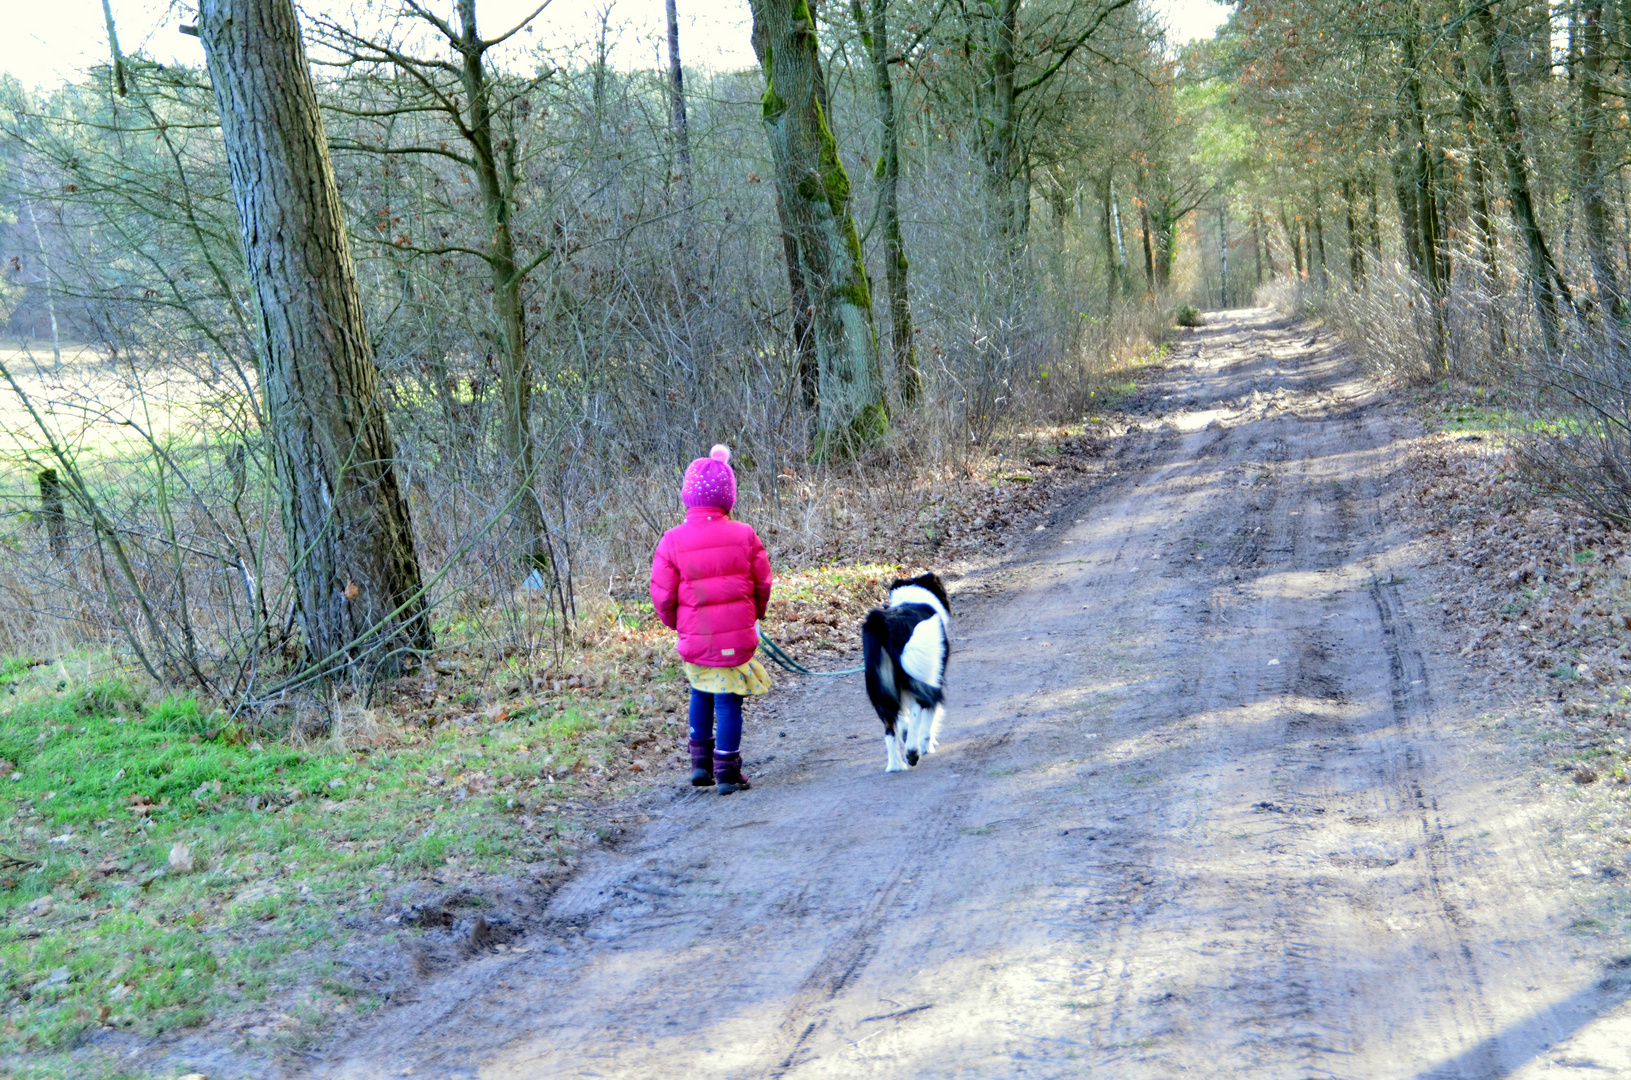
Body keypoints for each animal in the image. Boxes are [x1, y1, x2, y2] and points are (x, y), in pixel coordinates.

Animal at [861, 570, 952, 773]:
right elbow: (928, 719)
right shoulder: (934, 680)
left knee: (889, 727)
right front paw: (926, 745)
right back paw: (912, 752)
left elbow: (902, 722)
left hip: (881, 687)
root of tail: (883, 623)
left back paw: (895, 764)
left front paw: (905, 732)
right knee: (917, 710)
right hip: (919, 678)